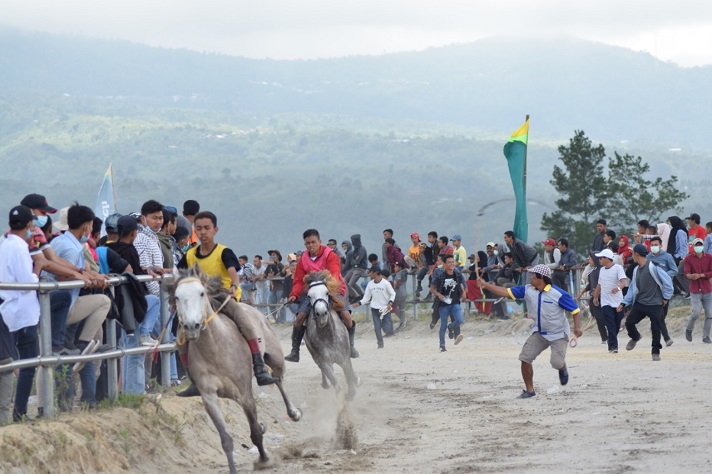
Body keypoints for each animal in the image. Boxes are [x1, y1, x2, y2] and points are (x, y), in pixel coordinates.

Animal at [172, 268, 300, 472]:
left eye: (201, 293)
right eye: (177, 296)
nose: (192, 326)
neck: (215, 348)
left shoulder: (245, 393)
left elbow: (255, 433)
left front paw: (264, 459)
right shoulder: (209, 396)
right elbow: (226, 439)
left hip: (275, 358)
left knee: (278, 379)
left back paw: (293, 412)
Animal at [304, 270, 362, 400]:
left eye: (326, 292)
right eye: (309, 296)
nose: (321, 313)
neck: (328, 336)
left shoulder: (345, 359)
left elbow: (350, 382)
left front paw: (352, 387)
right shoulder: (325, 362)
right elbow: (337, 386)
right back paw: (325, 383)